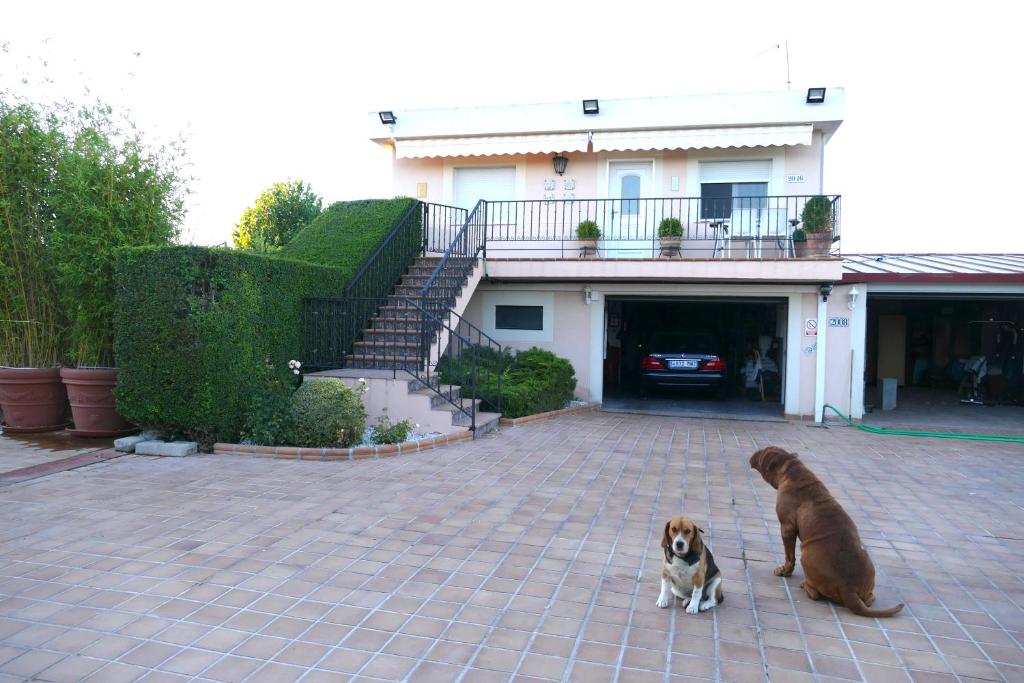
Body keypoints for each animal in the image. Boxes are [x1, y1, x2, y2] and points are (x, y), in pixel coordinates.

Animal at [749, 448, 901, 618]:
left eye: (761, 453)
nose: (755, 452)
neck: (793, 469)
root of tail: (848, 588)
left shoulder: (787, 528)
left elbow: (789, 556)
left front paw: (785, 571)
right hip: (866, 561)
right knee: (869, 599)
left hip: (806, 556)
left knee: (815, 594)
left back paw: (806, 585)